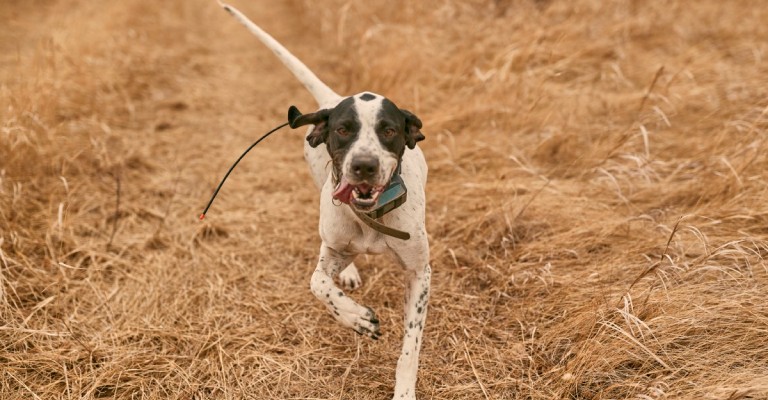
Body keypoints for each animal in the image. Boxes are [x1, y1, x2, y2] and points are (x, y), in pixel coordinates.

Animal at [220, 2, 432, 396]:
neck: (371, 217)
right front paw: (356, 317)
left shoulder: (419, 272)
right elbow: (318, 284)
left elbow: (410, 347)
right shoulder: (330, 250)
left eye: (389, 131)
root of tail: (332, 99)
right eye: (343, 130)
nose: (364, 166)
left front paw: (404, 391)